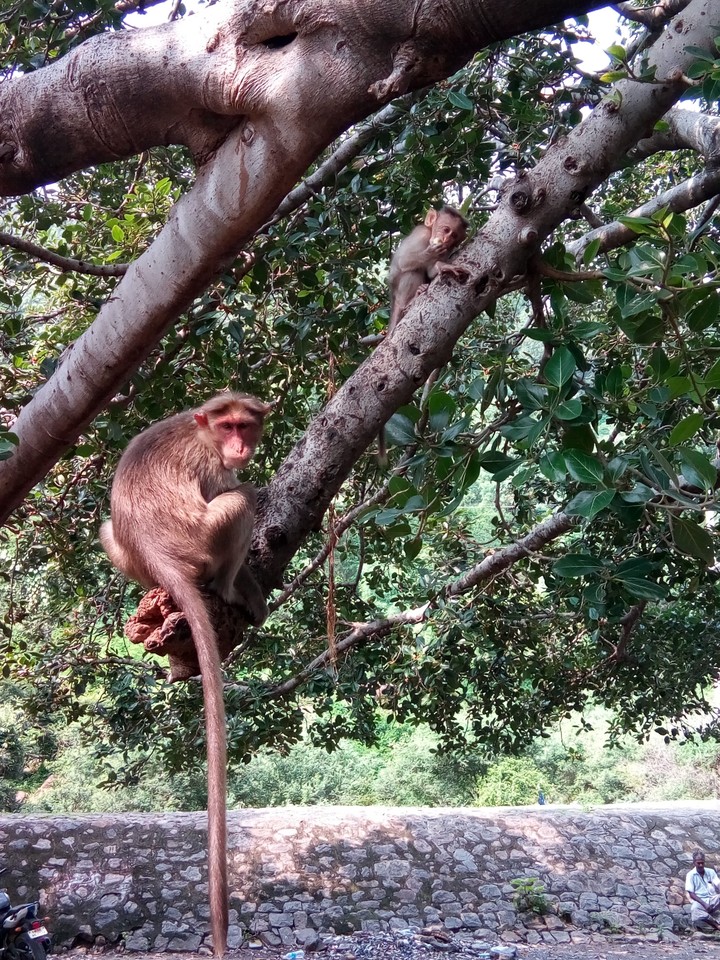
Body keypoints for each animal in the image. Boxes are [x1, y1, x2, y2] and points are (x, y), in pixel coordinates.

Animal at [100, 391, 272, 957]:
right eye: (229, 427)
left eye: (247, 425)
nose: (241, 446)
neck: (203, 429)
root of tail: (163, 561)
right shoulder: (215, 466)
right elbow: (236, 490)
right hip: (202, 542)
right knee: (244, 499)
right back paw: (229, 585)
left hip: (131, 553)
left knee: (106, 529)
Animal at [378, 205, 469, 462]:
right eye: (446, 230)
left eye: (455, 237)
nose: (446, 241)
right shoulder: (420, 237)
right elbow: (405, 261)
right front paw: (436, 258)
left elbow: (432, 267)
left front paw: (441, 265)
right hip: (400, 291)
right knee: (411, 272)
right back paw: (412, 298)